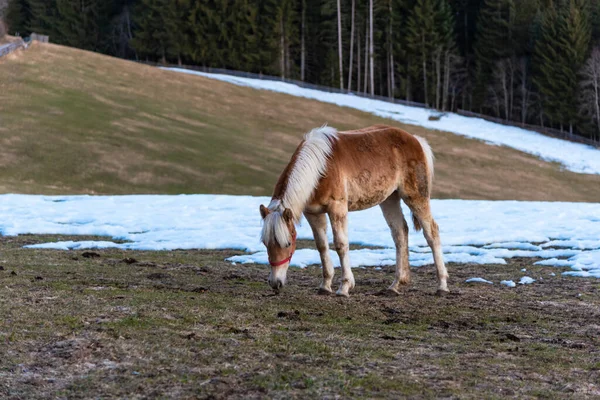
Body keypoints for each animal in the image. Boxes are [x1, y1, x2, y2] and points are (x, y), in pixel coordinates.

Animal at [260, 125, 448, 296]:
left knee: (432, 232)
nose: (275, 282)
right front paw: (325, 285)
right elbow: (322, 246)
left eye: (287, 244)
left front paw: (344, 286)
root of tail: (416, 140)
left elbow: (341, 245)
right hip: (389, 199)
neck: (320, 169)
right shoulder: (313, 213)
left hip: (415, 197)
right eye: (265, 243)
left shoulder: (337, 209)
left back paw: (442, 285)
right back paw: (396, 285)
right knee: (400, 232)